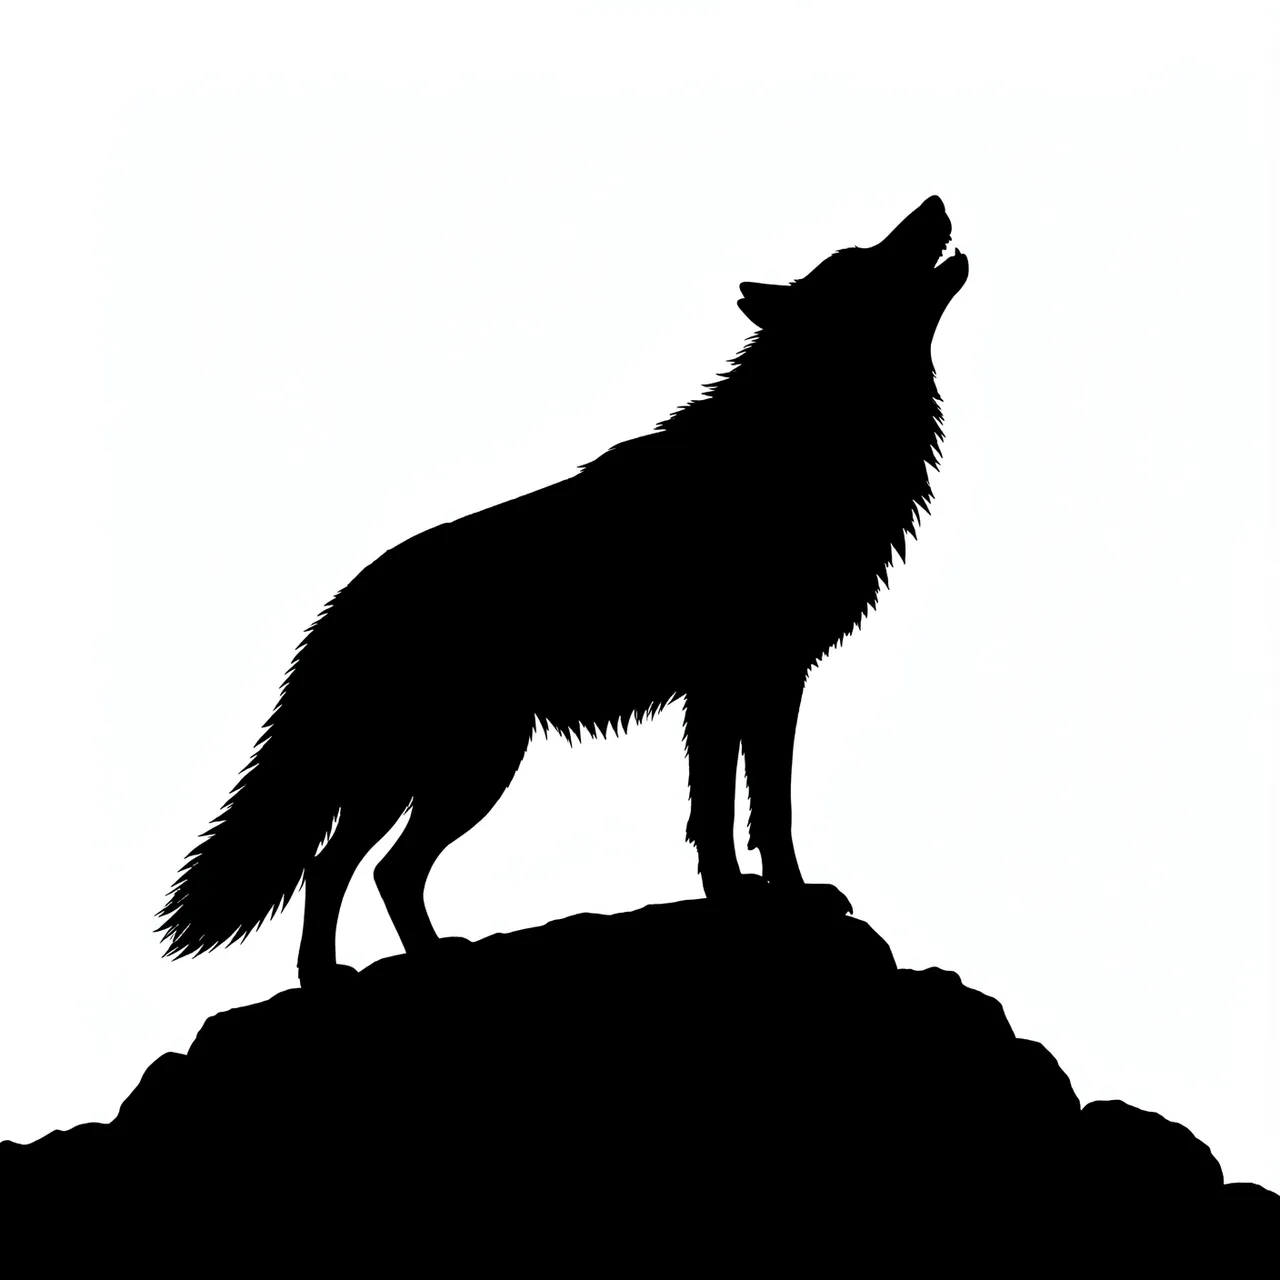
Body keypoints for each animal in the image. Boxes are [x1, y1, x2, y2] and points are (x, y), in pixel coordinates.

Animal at [159, 196, 968, 985]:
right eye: (864, 259)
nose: (934, 201)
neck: (797, 446)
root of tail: (339, 606)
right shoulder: (731, 681)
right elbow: (736, 808)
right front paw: (755, 900)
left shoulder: (765, 679)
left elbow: (757, 808)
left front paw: (770, 893)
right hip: (461, 770)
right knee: (345, 868)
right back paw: (341, 974)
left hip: (446, 772)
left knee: (374, 870)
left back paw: (414, 960)